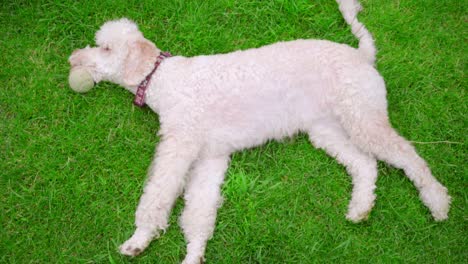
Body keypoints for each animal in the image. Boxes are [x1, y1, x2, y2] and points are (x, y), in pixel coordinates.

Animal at [68, 1, 450, 262]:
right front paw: (193, 254)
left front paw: (139, 239)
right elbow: (199, 212)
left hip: (364, 117)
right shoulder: (209, 157)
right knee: (365, 164)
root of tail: (363, 55)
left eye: (105, 48)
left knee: (408, 157)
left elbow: (158, 194)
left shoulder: (180, 144)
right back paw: (360, 208)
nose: (73, 59)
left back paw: (437, 203)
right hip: (328, 129)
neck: (163, 79)